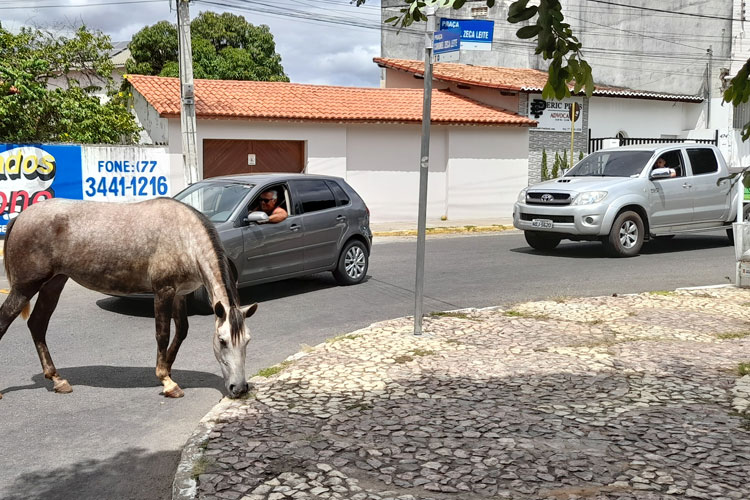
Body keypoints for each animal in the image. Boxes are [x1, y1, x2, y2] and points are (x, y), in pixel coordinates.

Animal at [0, 198, 258, 398]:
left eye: (247, 341)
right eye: (222, 341)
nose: (239, 388)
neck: (184, 236)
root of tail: (21, 217)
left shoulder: (179, 294)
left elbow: (181, 331)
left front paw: (167, 369)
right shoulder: (163, 291)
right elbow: (163, 334)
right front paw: (167, 381)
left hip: (54, 284)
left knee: (37, 324)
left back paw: (57, 379)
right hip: (25, 287)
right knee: (5, 320)